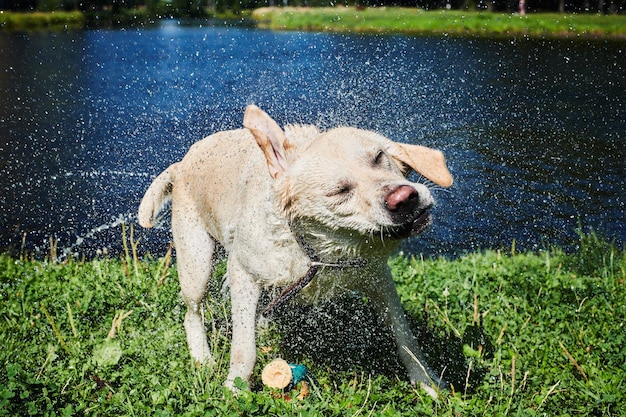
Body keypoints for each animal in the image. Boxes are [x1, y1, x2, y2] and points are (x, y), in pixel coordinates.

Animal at [136, 104, 450, 396]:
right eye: (338, 191)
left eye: (378, 157)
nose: (404, 199)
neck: (317, 251)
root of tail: (182, 163)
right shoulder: (243, 273)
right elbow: (244, 347)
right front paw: (236, 389)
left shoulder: (378, 277)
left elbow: (404, 335)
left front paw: (427, 382)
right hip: (196, 264)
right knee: (192, 314)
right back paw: (203, 358)